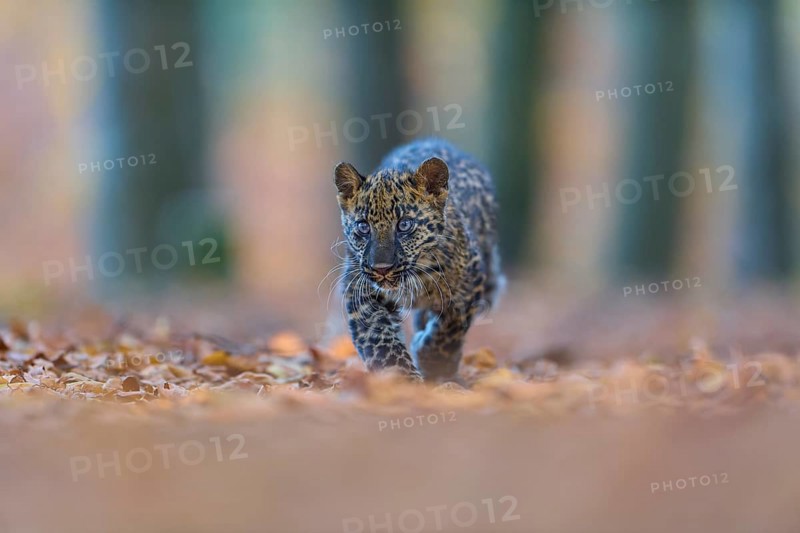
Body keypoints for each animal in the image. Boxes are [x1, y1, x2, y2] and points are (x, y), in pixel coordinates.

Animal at [332, 137, 503, 382]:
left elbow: (450, 327)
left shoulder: (470, 283)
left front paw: (433, 361)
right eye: (363, 227)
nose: (381, 268)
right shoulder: (360, 290)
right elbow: (380, 340)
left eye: (404, 225)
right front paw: (401, 379)